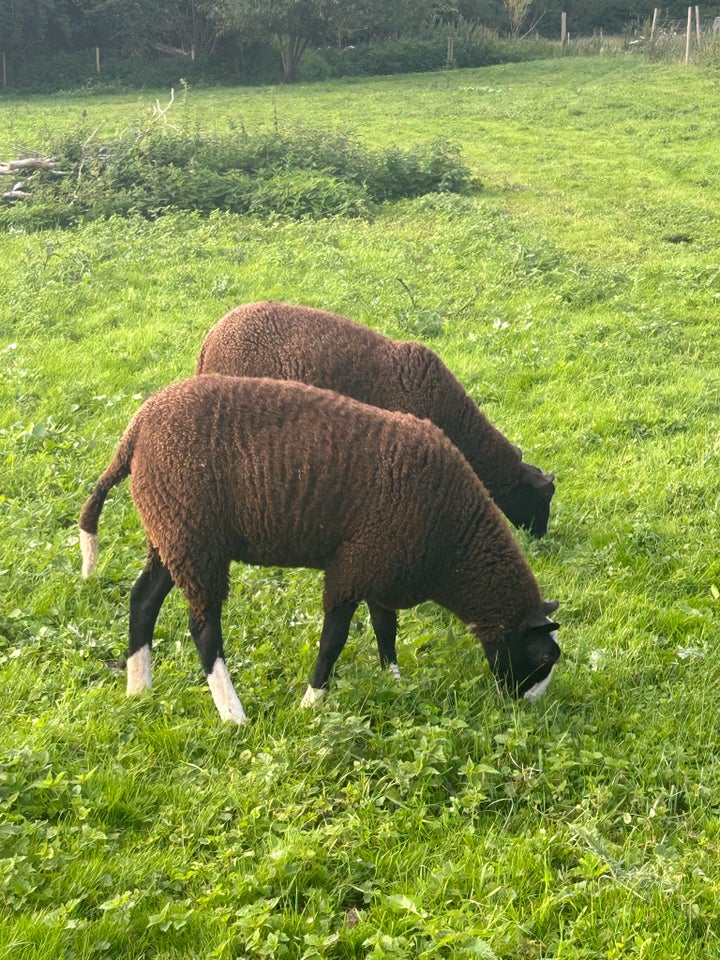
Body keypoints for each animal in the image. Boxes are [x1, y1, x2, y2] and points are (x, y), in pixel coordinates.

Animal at [80, 374, 564, 720]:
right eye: (543, 658)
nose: (529, 709)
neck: (455, 548)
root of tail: (136, 430)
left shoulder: (383, 563)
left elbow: (385, 627)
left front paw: (393, 680)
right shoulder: (355, 566)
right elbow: (334, 640)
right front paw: (311, 701)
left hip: (171, 531)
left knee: (142, 600)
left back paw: (139, 688)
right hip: (194, 537)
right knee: (203, 628)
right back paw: (233, 714)